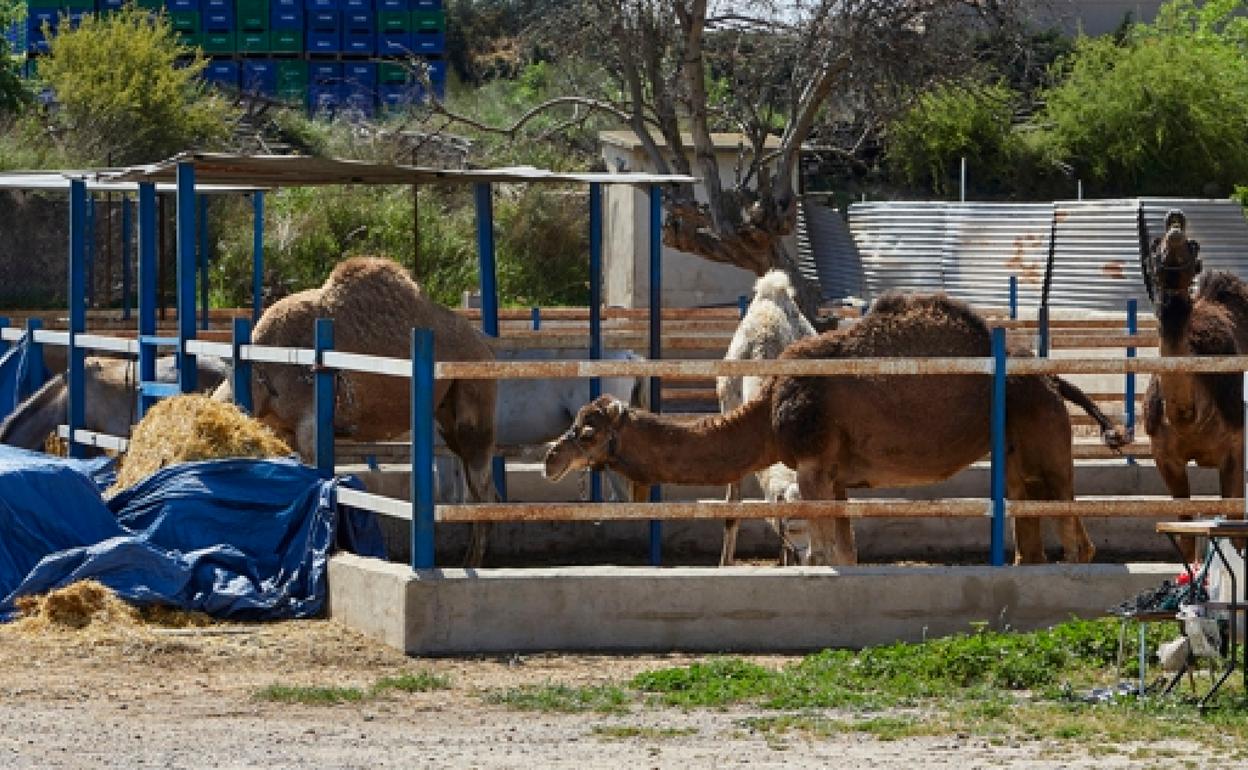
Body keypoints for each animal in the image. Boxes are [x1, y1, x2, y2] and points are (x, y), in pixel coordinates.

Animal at [1143, 208, 1248, 559]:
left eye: (1194, 246)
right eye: (1153, 246)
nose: (1174, 219)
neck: (1188, 415)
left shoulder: (1235, 449)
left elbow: (1236, 533)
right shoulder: (1165, 457)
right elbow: (1186, 534)